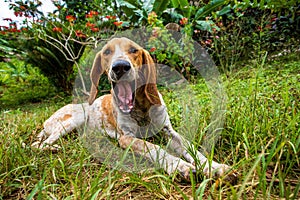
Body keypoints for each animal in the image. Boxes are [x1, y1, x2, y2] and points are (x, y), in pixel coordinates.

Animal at [31, 37, 236, 181]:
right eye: (107, 52)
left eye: (133, 50)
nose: (120, 67)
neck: (141, 106)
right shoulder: (126, 138)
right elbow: (154, 148)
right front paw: (180, 166)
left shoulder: (169, 131)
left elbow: (192, 148)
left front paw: (214, 167)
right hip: (74, 119)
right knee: (38, 144)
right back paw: (54, 148)